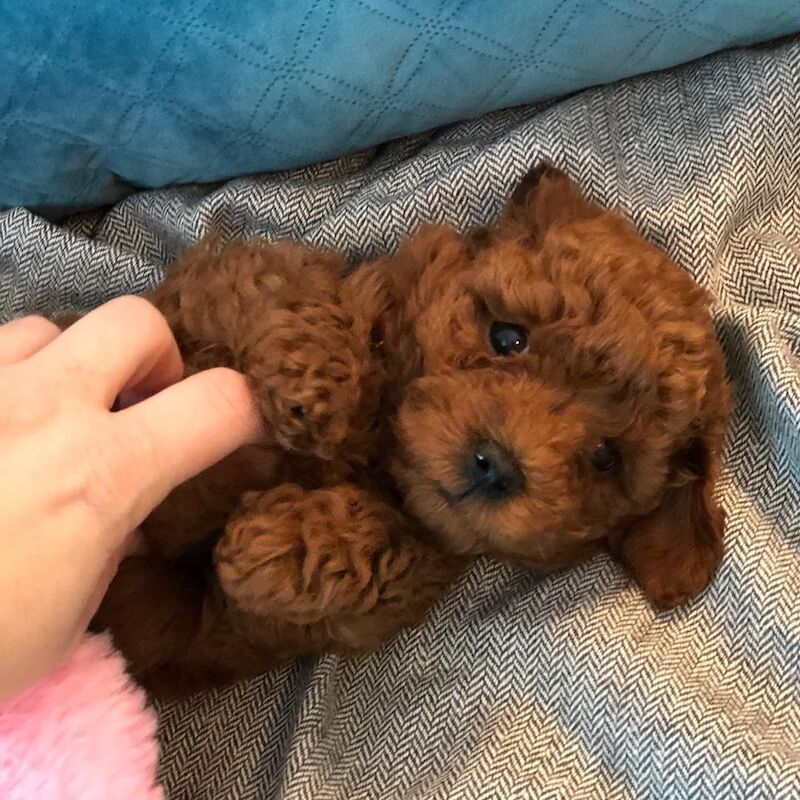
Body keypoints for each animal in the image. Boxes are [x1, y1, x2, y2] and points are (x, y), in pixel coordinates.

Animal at [90, 166, 728, 696]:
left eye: (605, 456)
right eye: (506, 337)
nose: (497, 467)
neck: (381, 454)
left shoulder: (243, 627)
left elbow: (385, 556)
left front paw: (280, 542)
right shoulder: (200, 299)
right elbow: (285, 284)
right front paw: (318, 390)